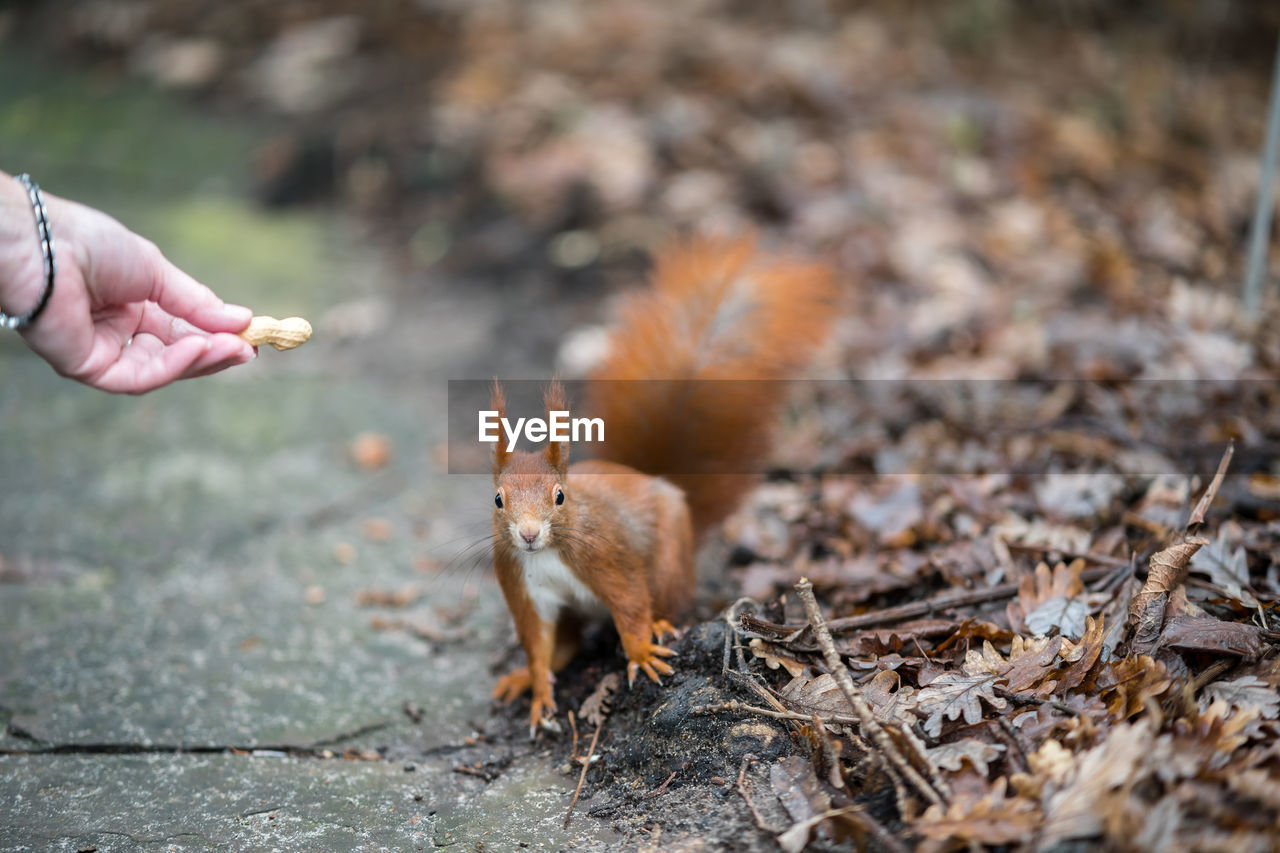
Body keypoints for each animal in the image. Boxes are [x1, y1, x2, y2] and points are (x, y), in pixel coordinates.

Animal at [483, 234, 834, 732]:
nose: (529, 534)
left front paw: (641, 651)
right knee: (567, 644)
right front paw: (538, 691)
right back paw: (521, 680)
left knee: (665, 601)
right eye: (498, 500)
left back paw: (662, 628)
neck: (547, 554)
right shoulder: (522, 586)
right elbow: (538, 646)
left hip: (668, 560)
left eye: (560, 497)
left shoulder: (609, 557)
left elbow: (630, 604)